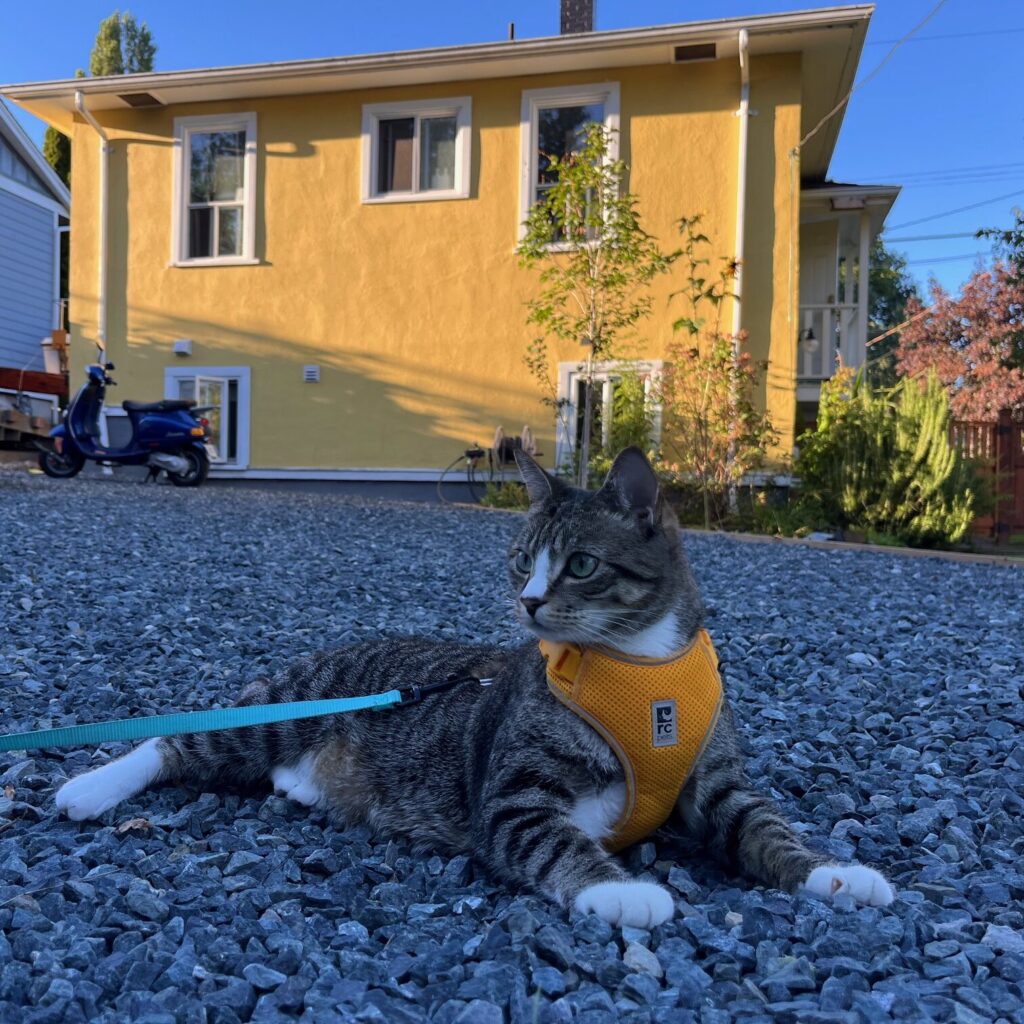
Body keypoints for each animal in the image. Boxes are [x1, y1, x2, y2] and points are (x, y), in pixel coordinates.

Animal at [56, 448, 892, 929]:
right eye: (521, 558)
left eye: (580, 564)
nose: (527, 602)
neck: (639, 667)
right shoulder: (514, 794)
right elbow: (553, 838)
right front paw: (620, 890)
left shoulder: (715, 784)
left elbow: (766, 828)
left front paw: (834, 873)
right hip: (279, 710)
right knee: (178, 743)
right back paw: (90, 788)